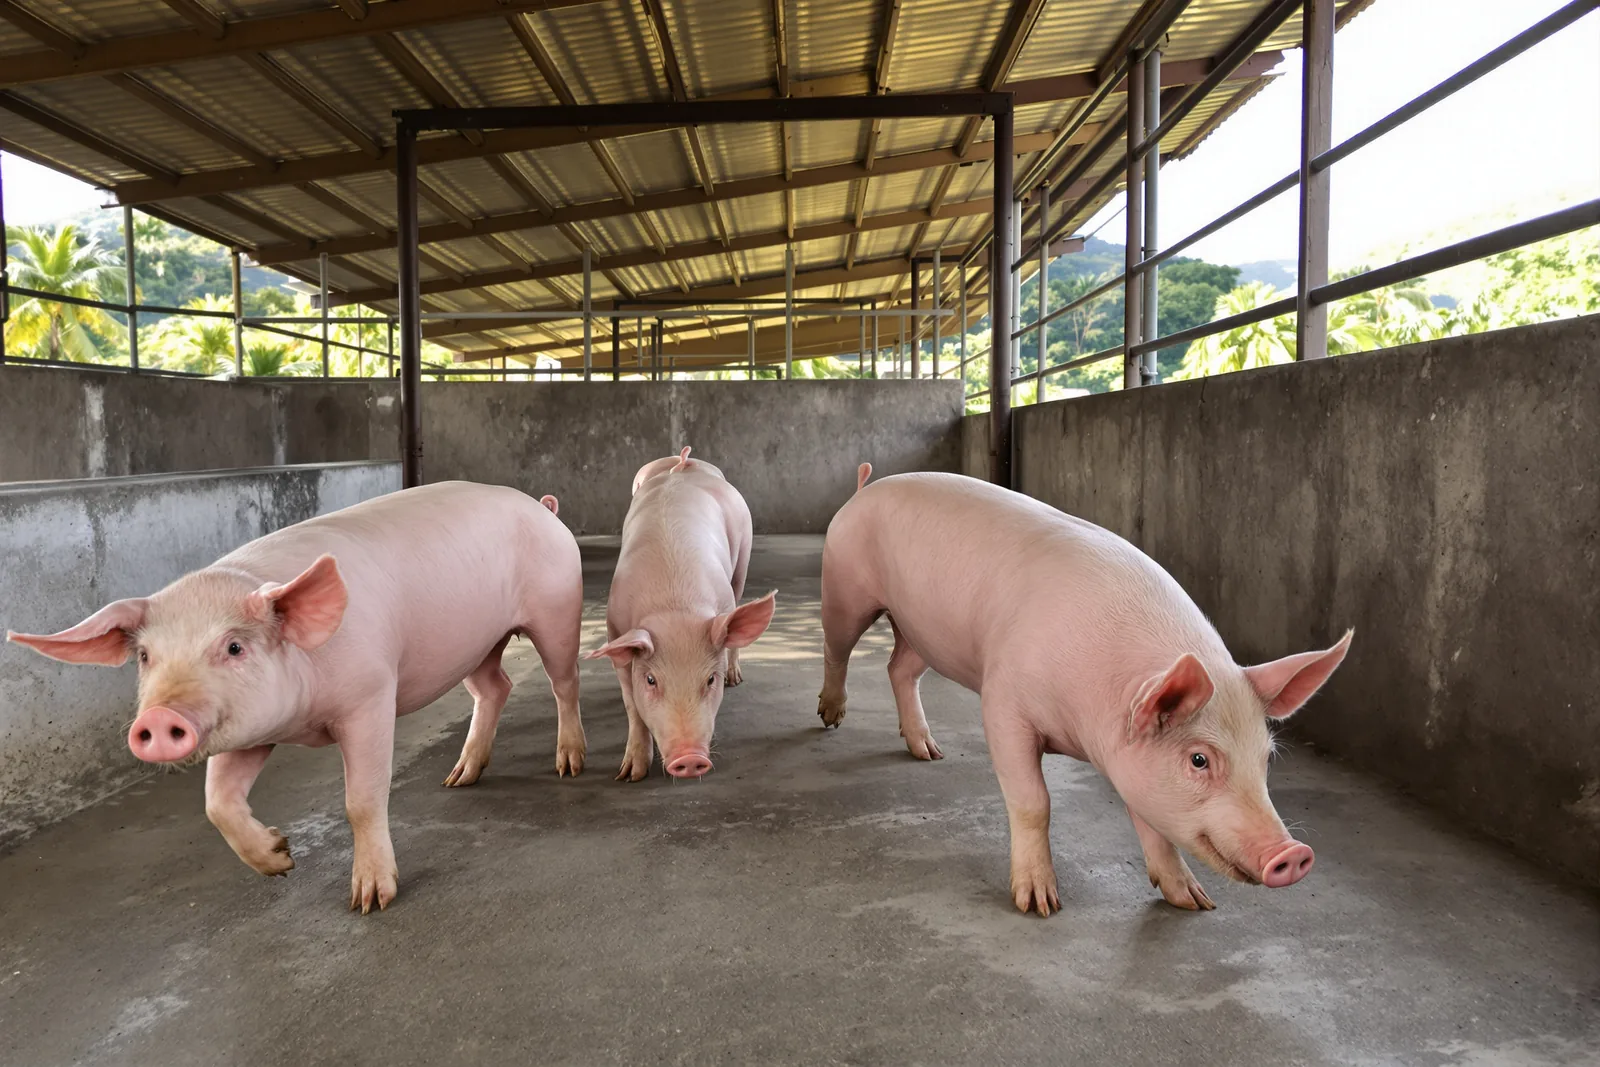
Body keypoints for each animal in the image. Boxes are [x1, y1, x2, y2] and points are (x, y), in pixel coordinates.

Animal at [8, 481, 585, 913]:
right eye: (146, 656)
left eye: (234, 647)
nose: (158, 718)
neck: (302, 724)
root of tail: (542, 508)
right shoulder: (246, 730)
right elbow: (216, 802)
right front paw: (281, 859)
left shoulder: (371, 695)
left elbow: (361, 800)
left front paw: (369, 901)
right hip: (475, 646)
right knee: (496, 687)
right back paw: (460, 778)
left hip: (557, 608)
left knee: (564, 681)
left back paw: (569, 765)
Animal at [590, 447, 775, 780]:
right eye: (651, 680)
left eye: (710, 680)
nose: (689, 759)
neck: (674, 607)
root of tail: (683, 463)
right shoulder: (616, 630)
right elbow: (631, 705)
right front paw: (629, 775)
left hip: (742, 560)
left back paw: (735, 679)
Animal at [816, 469, 1351, 916]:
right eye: (1199, 759)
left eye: (1266, 758)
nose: (1294, 854)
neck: (1086, 729)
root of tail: (864, 489)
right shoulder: (1003, 701)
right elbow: (1034, 801)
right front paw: (1040, 905)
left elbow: (1153, 825)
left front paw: (1195, 903)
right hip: (844, 588)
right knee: (837, 649)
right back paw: (830, 717)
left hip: (924, 631)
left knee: (899, 668)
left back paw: (929, 752)